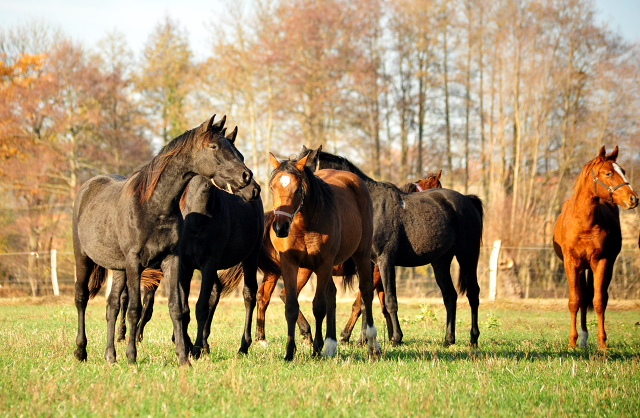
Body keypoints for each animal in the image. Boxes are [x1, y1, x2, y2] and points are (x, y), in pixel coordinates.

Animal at [72, 114, 258, 366]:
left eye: (238, 153)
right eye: (213, 146)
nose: (248, 178)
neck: (152, 205)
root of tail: (87, 187)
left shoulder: (173, 261)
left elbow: (177, 308)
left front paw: (184, 357)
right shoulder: (135, 263)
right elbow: (135, 309)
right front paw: (132, 357)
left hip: (118, 268)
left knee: (111, 306)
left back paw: (110, 355)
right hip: (83, 259)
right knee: (82, 299)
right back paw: (81, 351)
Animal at [266, 152, 378, 360]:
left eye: (298, 188)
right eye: (272, 187)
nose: (280, 227)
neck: (304, 226)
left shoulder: (324, 264)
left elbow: (319, 306)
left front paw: (316, 348)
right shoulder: (290, 264)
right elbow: (291, 306)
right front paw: (289, 351)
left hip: (362, 255)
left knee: (366, 292)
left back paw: (372, 343)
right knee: (332, 294)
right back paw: (330, 345)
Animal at [302, 146, 482, 346]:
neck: (371, 204)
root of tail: (468, 200)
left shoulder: (385, 261)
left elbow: (388, 301)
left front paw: (394, 337)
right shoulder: (370, 264)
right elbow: (366, 301)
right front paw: (370, 338)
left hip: (468, 256)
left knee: (472, 294)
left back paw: (473, 338)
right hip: (440, 262)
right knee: (450, 295)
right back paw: (448, 339)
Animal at [552, 147, 636, 350]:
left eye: (623, 170)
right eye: (608, 173)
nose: (633, 198)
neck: (584, 224)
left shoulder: (602, 262)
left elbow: (599, 301)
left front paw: (602, 343)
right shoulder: (571, 263)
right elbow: (574, 301)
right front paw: (571, 343)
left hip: (603, 266)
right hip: (582, 268)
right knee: (582, 297)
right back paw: (581, 338)